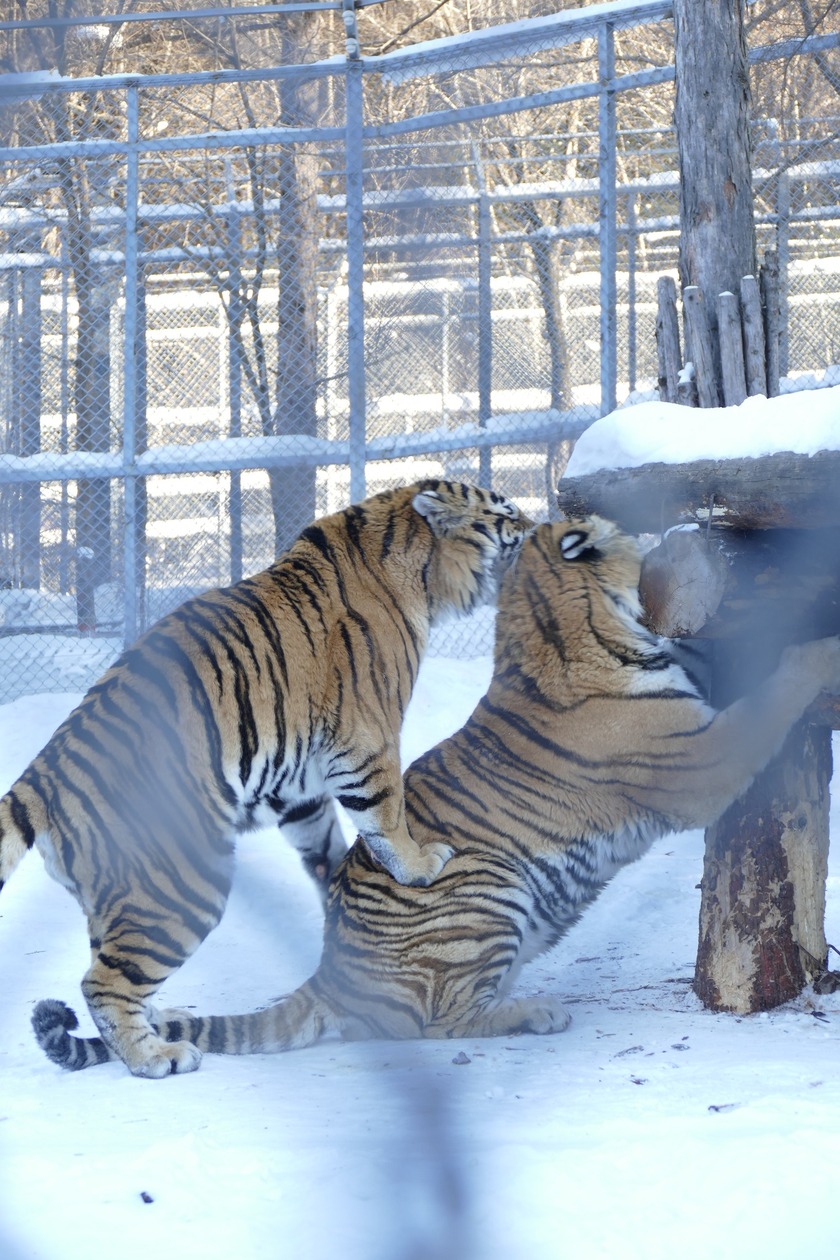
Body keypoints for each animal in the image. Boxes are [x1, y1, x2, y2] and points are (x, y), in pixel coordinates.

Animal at [1, 476, 531, 1078]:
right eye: (508, 513)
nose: (541, 527)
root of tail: (43, 775)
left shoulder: (300, 785)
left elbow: (324, 844)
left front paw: (336, 891)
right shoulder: (367, 736)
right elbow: (386, 811)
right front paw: (419, 865)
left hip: (117, 896)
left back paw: (163, 1022)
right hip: (182, 885)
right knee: (102, 982)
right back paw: (156, 1056)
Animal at [31, 514, 840, 1073]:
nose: (660, 536)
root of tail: (328, 977)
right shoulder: (698, 758)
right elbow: (771, 695)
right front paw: (818, 646)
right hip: (489, 885)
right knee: (435, 1022)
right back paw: (536, 1013)